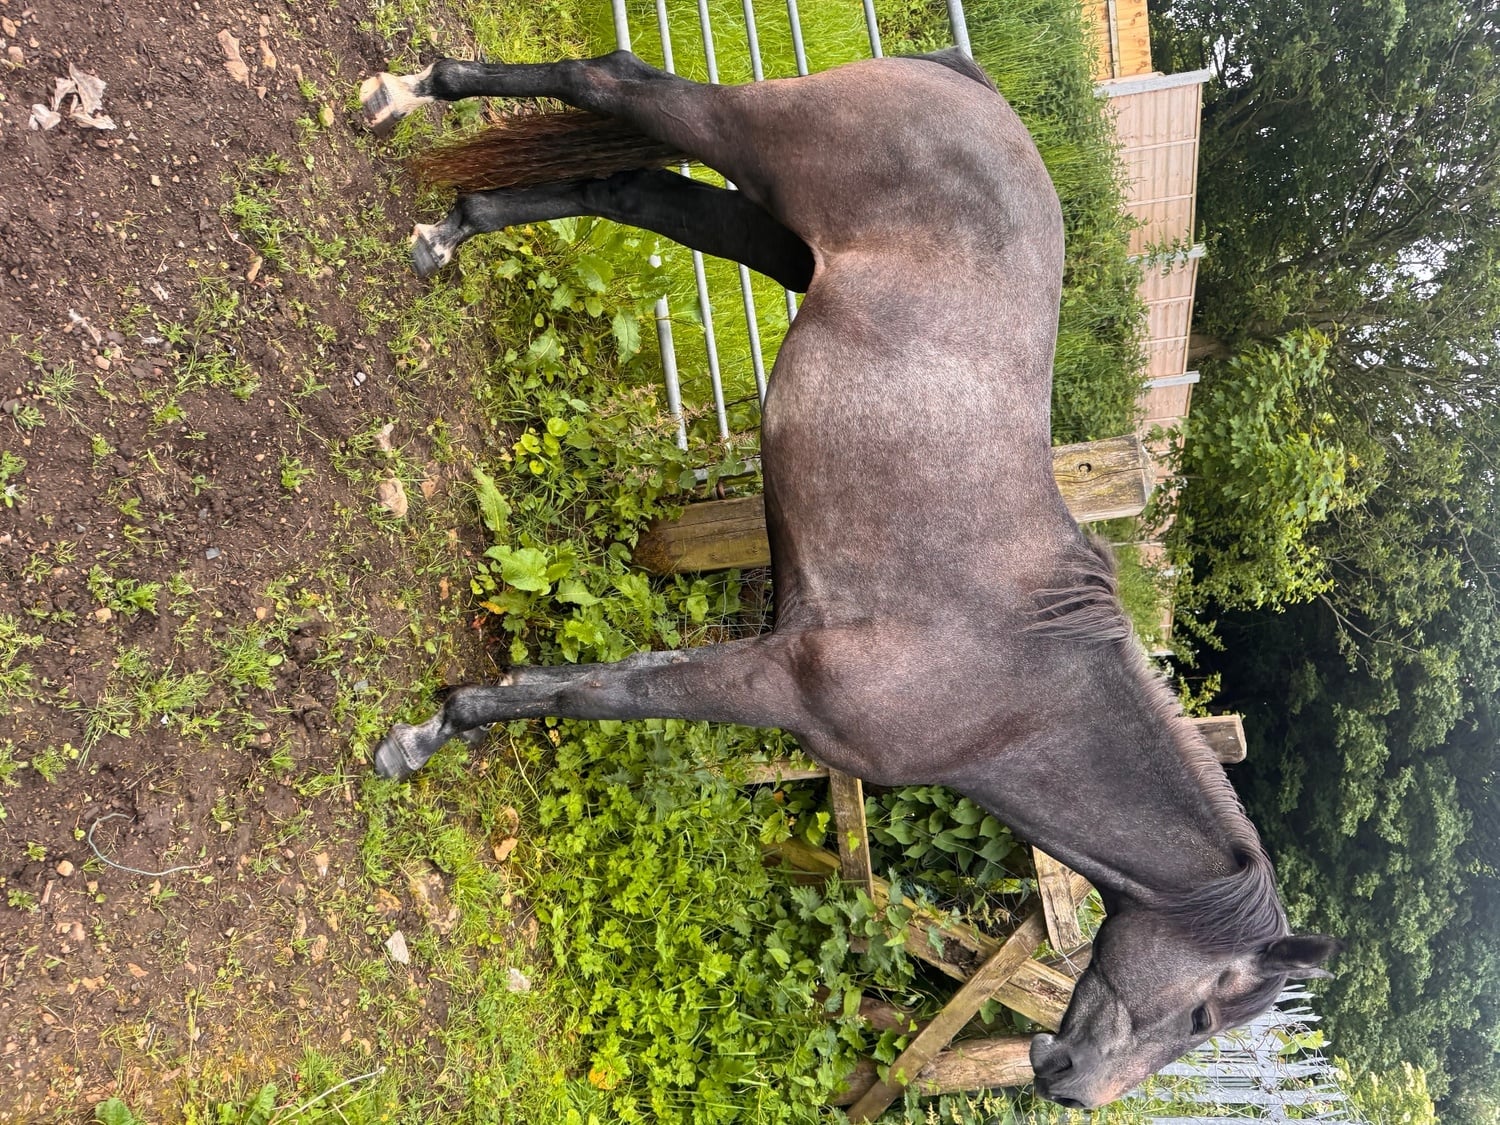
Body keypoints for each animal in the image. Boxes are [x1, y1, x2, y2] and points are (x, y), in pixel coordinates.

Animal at [357, 48, 1339, 1108]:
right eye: (1204, 1016)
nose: (1070, 1083)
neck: (1020, 687)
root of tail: (963, 78)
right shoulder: (779, 679)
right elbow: (598, 695)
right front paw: (422, 735)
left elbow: (596, 682)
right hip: (753, 147)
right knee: (607, 80)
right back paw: (405, 97)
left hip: (778, 237)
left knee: (628, 188)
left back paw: (446, 231)